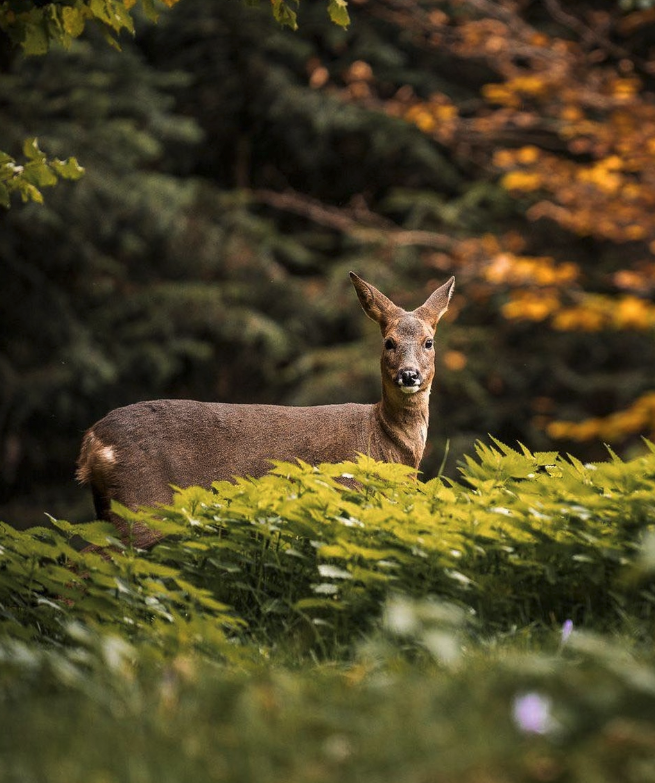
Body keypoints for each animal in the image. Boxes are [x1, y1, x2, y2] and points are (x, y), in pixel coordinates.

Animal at [78, 272, 456, 548]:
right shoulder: (345, 494)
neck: (386, 443)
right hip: (142, 505)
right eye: (389, 342)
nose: (409, 374)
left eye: (429, 342)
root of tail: (92, 440)